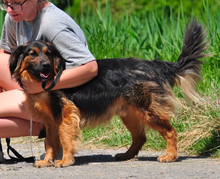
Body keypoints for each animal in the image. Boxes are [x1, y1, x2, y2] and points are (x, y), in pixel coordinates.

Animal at [9, 20, 208, 167]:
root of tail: (155, 65)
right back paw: (126, 155)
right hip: (130, 113)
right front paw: (46, 161)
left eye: (48, 54)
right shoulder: (50, 120)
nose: (46, 66)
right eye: (33, 54)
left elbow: (65, 138)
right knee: (140, 137)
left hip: (147, 111)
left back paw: (170, 156)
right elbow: (50, 142)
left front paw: (65, 160)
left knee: (170, 131)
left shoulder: (65, 114)